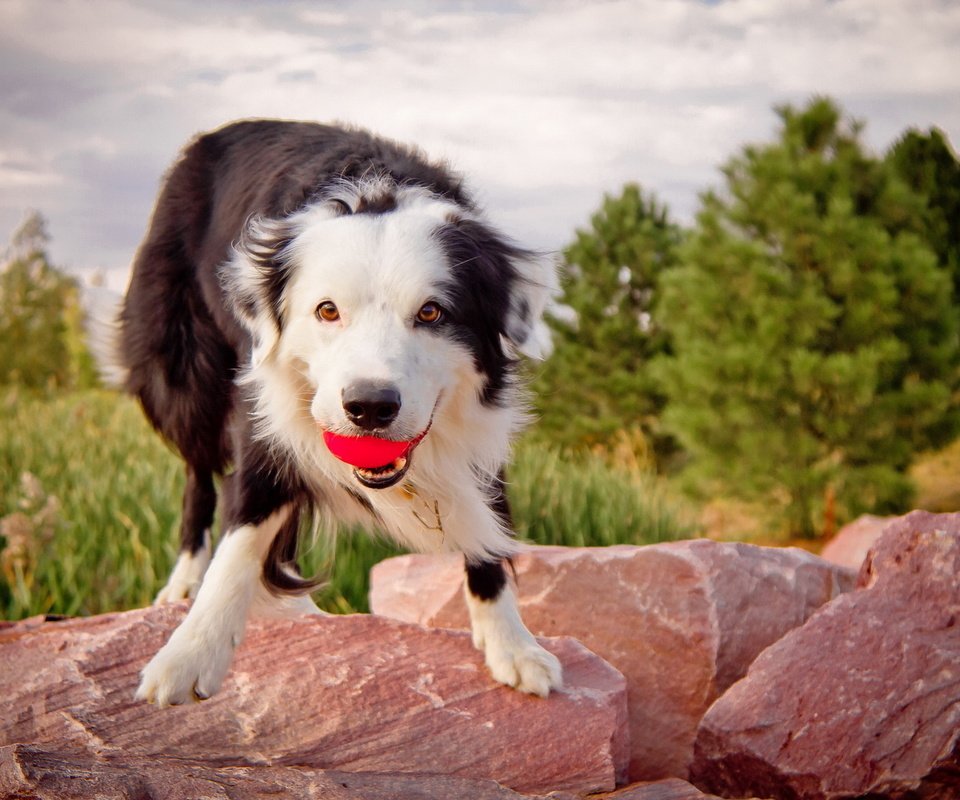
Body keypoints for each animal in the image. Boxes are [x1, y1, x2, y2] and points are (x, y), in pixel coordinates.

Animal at [101, 119, 560, 708]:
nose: (370, 407)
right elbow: (242, 529)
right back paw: (185, 577)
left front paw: (512, 644)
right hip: (182, 373)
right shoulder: (261, 412)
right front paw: (190, 654)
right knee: (199, 473)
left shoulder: (477, 426)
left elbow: (489, 524)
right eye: (327, 311)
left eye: (432, 313)